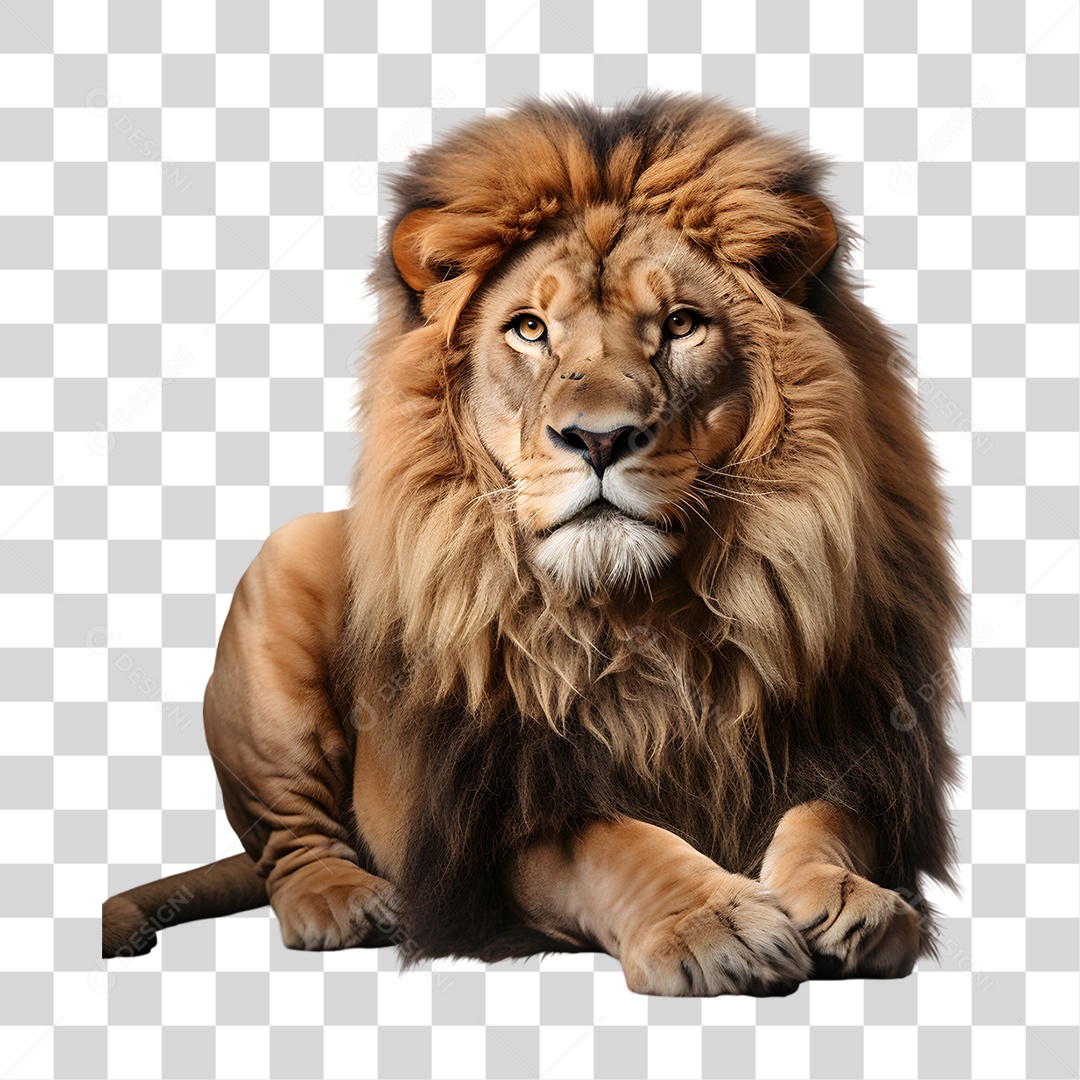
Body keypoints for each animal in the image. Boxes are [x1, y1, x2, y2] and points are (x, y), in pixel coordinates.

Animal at [102, 94, 962, 997]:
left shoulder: (856, 749)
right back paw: (346, 902)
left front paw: (850, 897)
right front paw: (711, 922)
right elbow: (620, 847)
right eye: (529, 329)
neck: (643, 616)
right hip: (283, 570)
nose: (599, 438)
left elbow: (826, 819)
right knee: (288, 839)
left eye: (682, 325)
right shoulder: (505, 819)